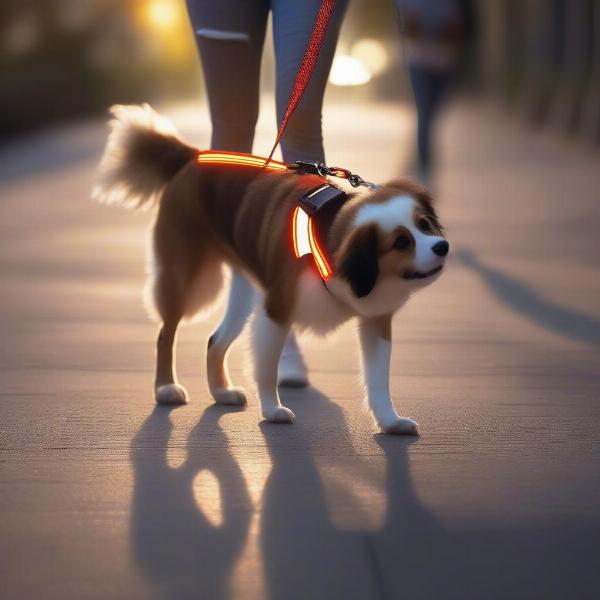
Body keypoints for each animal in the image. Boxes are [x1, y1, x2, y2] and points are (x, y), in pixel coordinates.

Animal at [94, 105, 448, 434]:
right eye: (401, 242)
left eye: (424, 225)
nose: (442, 247)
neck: (331, 235)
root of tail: (194, 157)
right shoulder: (275, 311)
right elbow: (267, 368)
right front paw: (272, 409)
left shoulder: (374, 321)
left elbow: (378, 380)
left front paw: (390, 421)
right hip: (185, 277)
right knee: (165, 333)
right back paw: (166, 388)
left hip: (243, 293)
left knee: (214, 340)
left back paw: (221, 391)